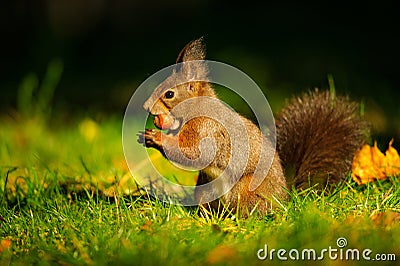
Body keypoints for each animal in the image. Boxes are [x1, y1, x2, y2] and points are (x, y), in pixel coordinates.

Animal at [138, 37, 368, 216]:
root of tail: (285, 197)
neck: (197, 107)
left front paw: (155, 137)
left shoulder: (206, 129)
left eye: (169, 94)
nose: (146, 107)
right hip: (204, 188)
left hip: (247, 189)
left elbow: (192, 152)